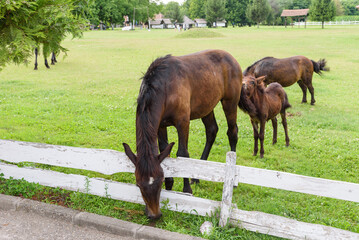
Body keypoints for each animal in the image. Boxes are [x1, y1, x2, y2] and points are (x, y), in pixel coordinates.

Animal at [122, 49, 243, 219]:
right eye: (138, 183)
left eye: (159, 181)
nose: (154, 215)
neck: (165, 87)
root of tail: (230, 57)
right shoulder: (160, 126)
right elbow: (165, 152)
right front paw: (170, 185)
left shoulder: (183, 122)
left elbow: (182, 154)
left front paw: (186, 191)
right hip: (207, 105)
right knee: (211, 130)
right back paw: (197, 177)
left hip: (230, 102)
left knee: (232, 132)